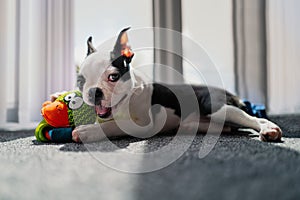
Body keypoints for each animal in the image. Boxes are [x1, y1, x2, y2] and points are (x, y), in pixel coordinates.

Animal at [71, 28, 282, 143]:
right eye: (80, 82)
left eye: (113, 77)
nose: (94, 92)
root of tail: (232, 94)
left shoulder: (145, 125)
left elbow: (115, 126)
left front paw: (87, 132)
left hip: (217, 107)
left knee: (254, 119)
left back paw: (269, 129)